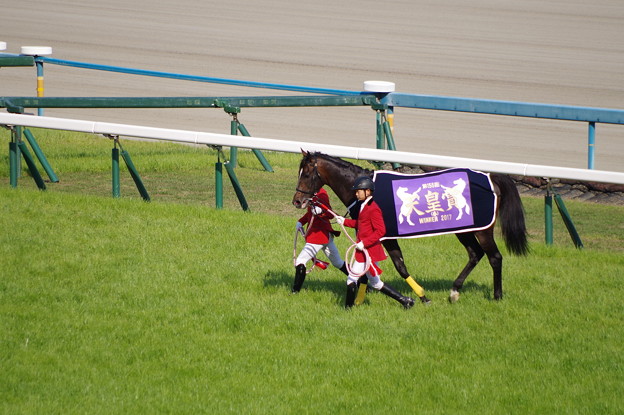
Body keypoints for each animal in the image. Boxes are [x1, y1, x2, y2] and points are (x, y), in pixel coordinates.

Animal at [292, 151, 528, 304]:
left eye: (306, 174)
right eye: (299, 172)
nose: (297, 201)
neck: (367, 192)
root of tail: (491, 177)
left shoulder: (383, 237)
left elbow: (395, 266)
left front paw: (420, 296)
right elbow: (384, 267)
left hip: (482, 230)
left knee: (494, 257)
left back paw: (497, 296)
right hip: (464, 230)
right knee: (475, 254)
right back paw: (454, 291)